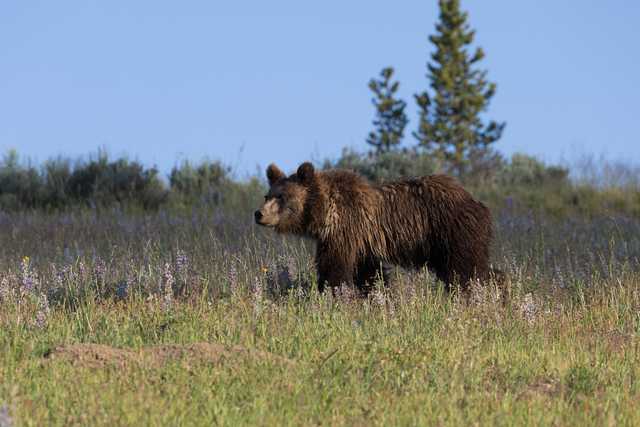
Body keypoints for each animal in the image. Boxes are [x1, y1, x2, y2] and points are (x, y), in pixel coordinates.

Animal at [255, 161, 495, 295]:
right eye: (268, 195)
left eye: (282, 197)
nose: (259, 214)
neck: (323, 212)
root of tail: (476, 202)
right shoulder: (360, 244)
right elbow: (369, 275)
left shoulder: (345, 230)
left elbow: (334, 270)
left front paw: (328, 294)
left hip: (452, 232)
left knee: (466, 271)